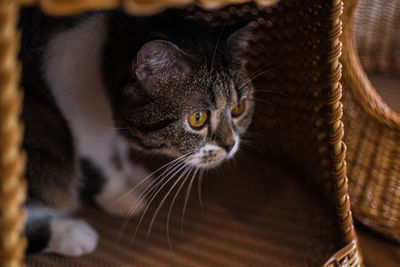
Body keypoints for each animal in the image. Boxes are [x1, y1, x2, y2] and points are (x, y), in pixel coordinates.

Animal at [18, 7, 255, 256]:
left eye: (239, 108)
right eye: (197, 118)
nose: (230, 145)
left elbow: (119, 150)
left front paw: (130, 173)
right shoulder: (79, 122)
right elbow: (99, 166)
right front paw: (120, 197)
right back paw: (72, 234)